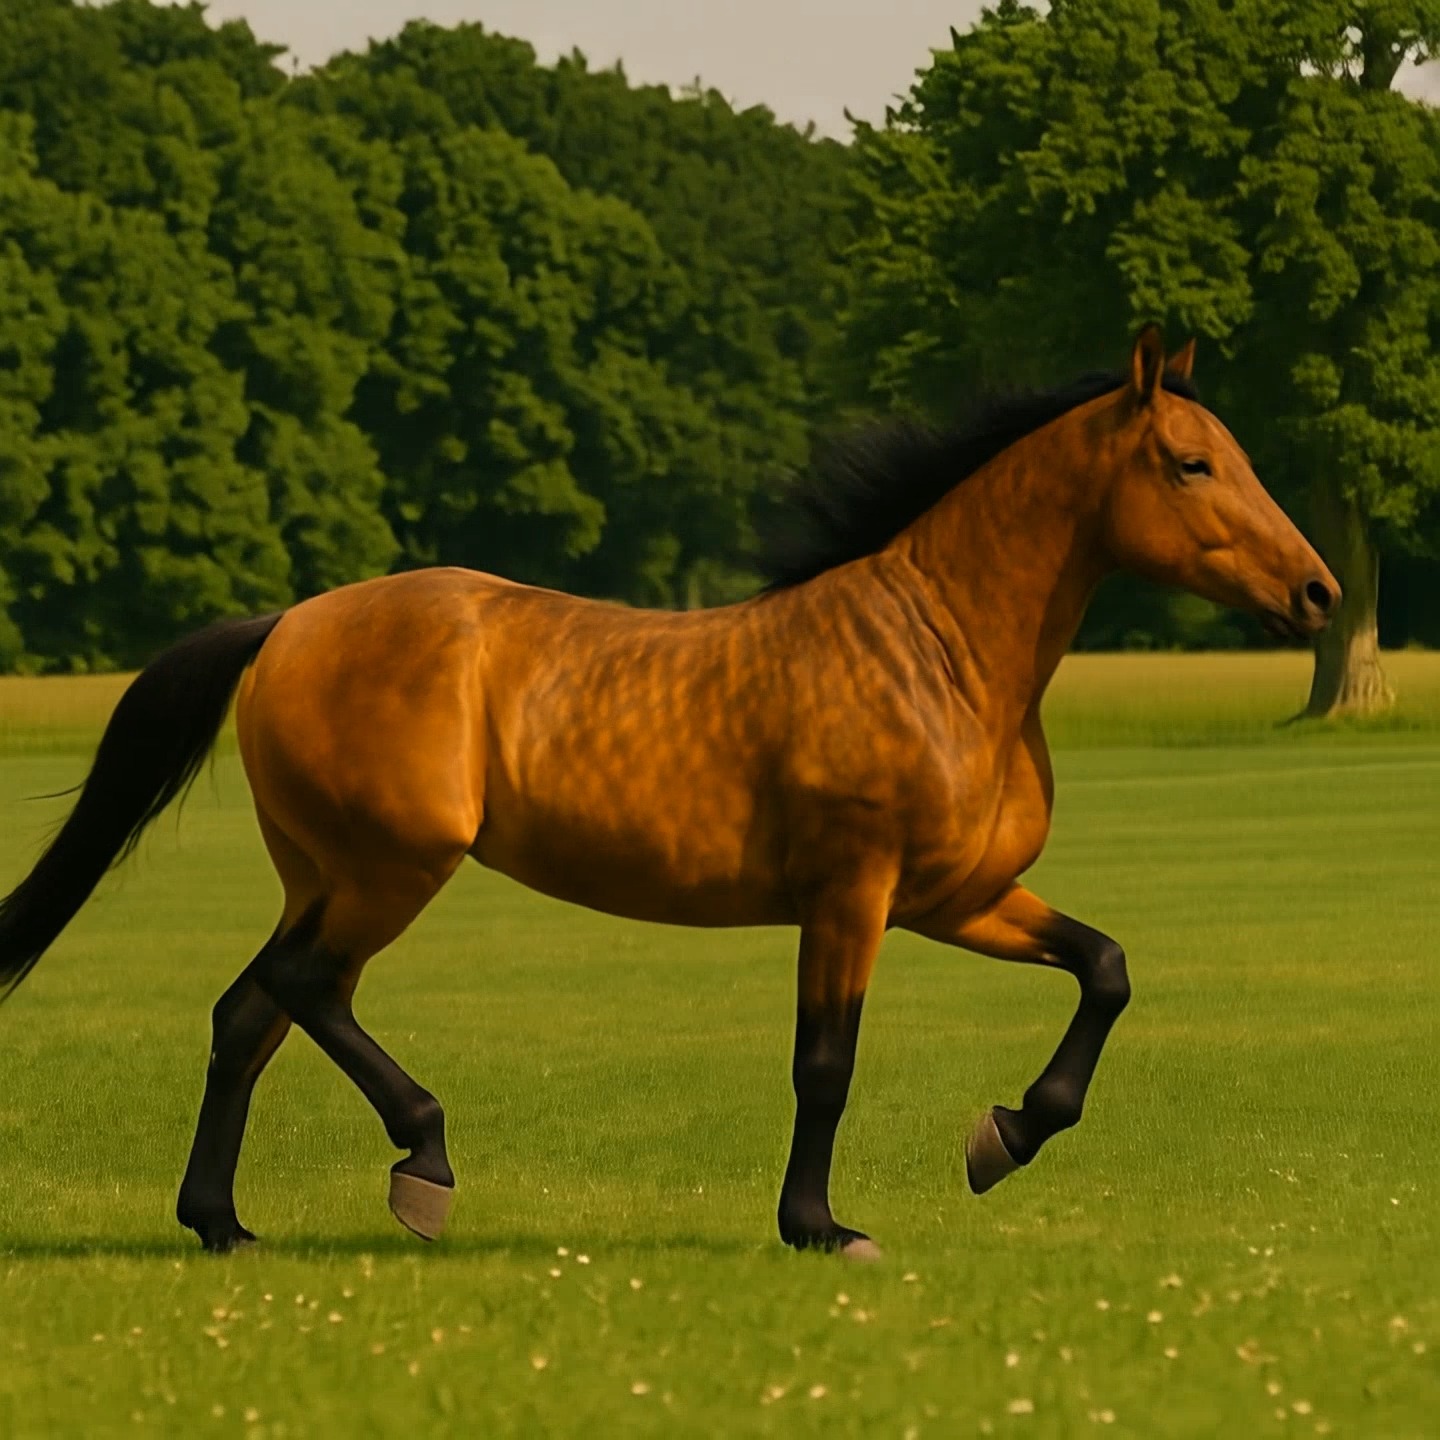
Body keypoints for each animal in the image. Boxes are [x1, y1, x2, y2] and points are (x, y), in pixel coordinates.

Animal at [0, 327, 1338, 1259]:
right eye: (1191, 463)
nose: (1320, 593)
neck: (938, 649)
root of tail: (288, 623)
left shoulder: (957, 897)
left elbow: (1105, 968)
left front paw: (1004, 1136)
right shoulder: (852, 895)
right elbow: (825, 1061)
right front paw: (821, 1225)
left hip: (329, 873)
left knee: (251, 1011)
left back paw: (220, 1221)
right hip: (393, 869)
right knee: (299, 988)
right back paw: (422, 1165)